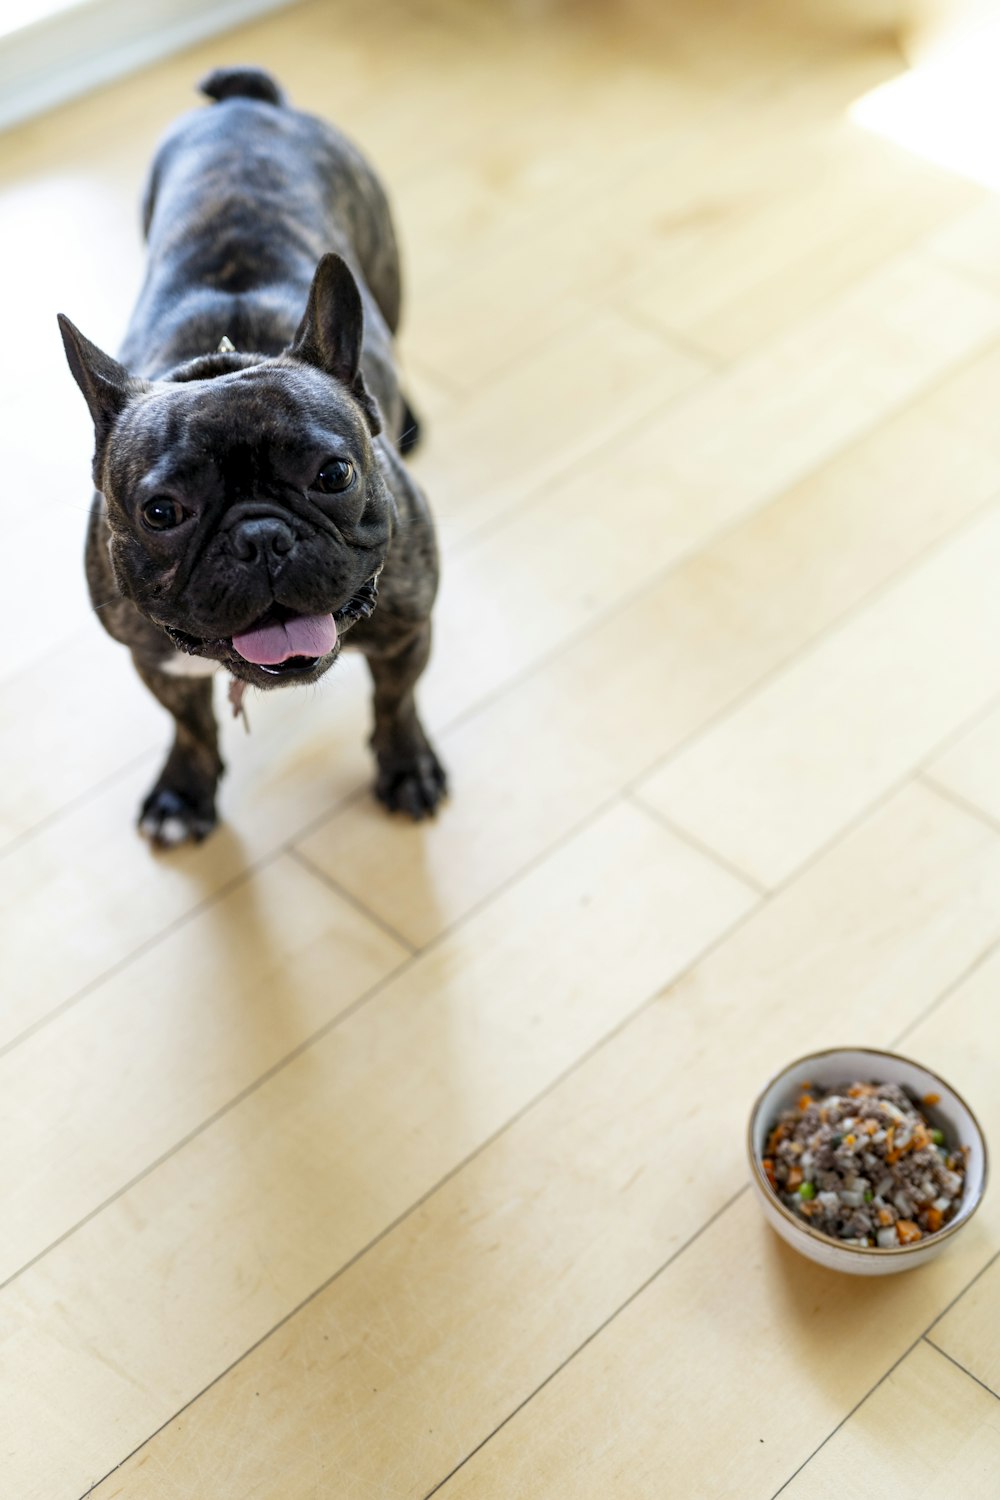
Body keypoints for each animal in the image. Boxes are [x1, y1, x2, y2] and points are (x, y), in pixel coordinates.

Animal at [56, 67, 443, 846]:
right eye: (161, 512)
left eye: (334, 474)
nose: (261, 536)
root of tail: (245, 101)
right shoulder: (157, 663)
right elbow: (191, 725)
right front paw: (184, 790)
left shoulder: (407, 632)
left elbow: (395, 704)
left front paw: (407, 766)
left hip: (385, 268)